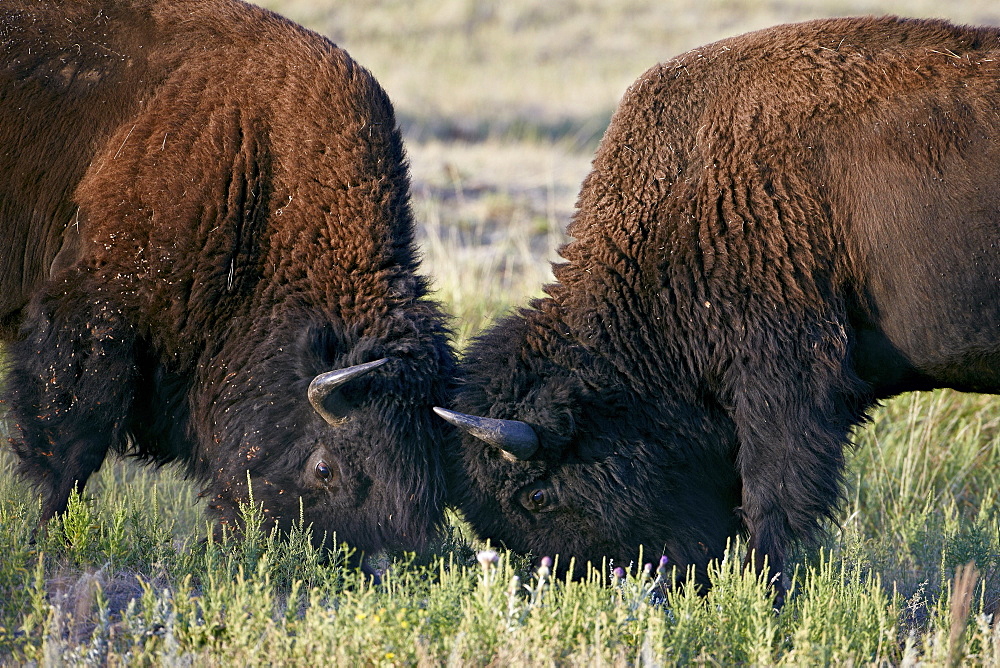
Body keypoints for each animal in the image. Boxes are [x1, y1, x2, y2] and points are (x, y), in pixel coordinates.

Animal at [0, 0, 454, 556]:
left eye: (432, 490)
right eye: (325, 468)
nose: (374, 562)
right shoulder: (94, 310)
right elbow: (74, 440)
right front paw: (48, 536)